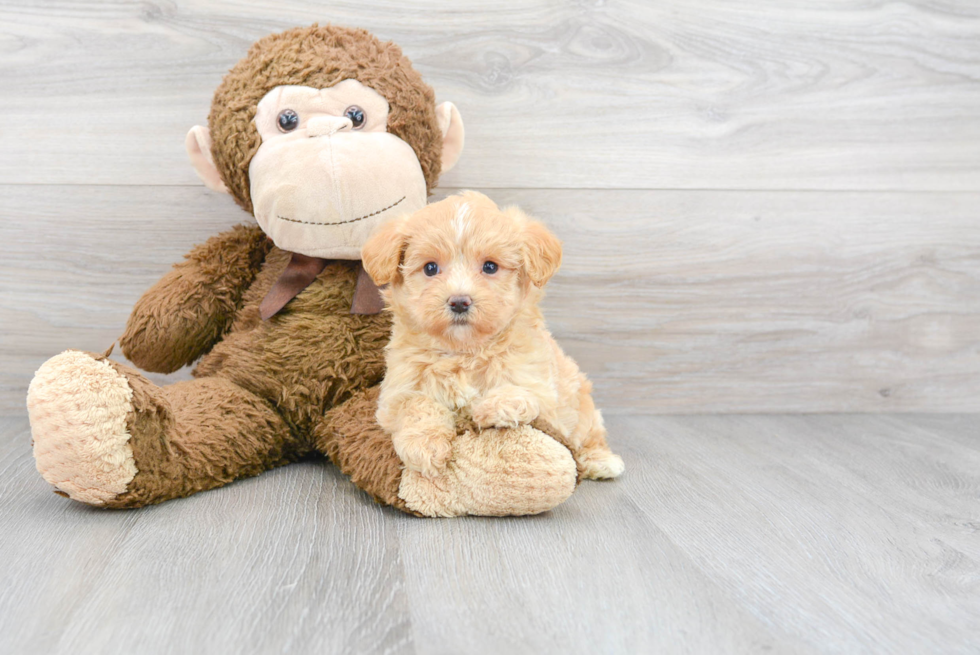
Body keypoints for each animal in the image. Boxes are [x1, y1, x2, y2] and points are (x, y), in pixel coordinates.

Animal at [362, 190, 628, 482]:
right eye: (430, 268)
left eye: (490, 267)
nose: (459, 302)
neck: (464, 351)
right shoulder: (396, 392)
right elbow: (415, 405)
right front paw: (425, 446)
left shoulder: (540, 388)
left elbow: (523, 393)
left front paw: (488, 407)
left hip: (581, 406)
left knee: (589, 434)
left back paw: (601, 461)